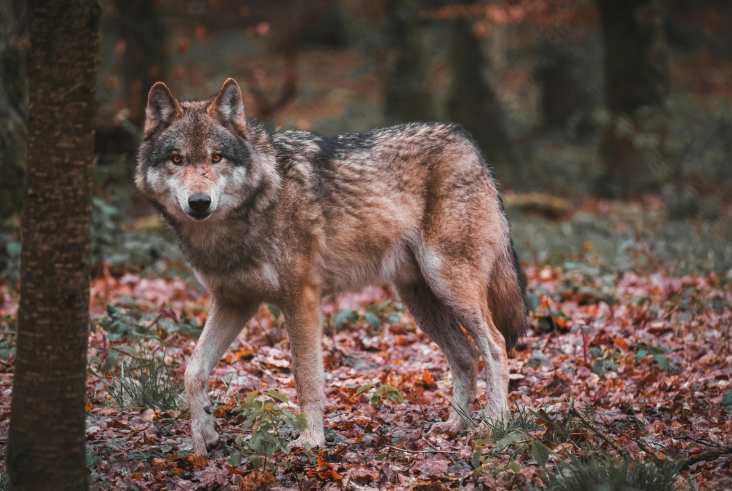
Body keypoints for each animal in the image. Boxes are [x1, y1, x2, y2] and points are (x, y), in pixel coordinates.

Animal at [136, 78, 529, 456]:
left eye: (216, 157)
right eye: (176, 159)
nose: (199, 202)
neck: (258, 202)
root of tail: (467, 140)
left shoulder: (301, 300)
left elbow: (306, 379)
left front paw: (311, 440)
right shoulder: (235, 302)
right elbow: (192, 371)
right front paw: (203, 436)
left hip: (448, 285)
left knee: (495, 345)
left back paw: (493, 424)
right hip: (422, 302)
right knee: (466, 356)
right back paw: (455, 425)